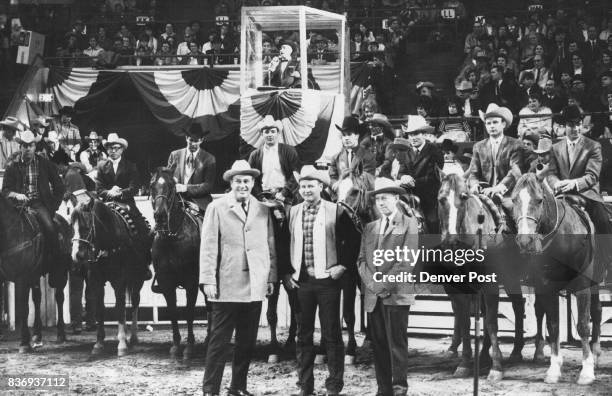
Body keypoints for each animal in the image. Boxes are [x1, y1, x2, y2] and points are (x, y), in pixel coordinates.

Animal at [0, 193, 71, 352]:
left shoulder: (22, 278)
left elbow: (24, 309)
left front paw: (24, 343)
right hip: (35, 275)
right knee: (37, 299)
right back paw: (37, 336)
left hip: (60, 273)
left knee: (59, 298)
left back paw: (61, 334)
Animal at [70, 193, 148, 356]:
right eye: (71, 225)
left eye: (87, 225)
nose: (77, 255)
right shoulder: (96, 282)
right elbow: (100, 310)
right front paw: (99, 343)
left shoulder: (119, 281)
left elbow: (119, 309)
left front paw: (122, 344)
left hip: (138, 278)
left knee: (135, 302)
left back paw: (133, 337)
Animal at [150, 169, 201, 360]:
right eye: (152, 186)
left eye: (171, 187)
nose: (160, 216)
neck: (173, 237)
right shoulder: (166, 283)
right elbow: (172, 312)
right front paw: (176, 345)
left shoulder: (192, 283)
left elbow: (189, 312)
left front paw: (190, 347)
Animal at [438, 174, 528, 380]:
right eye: (441, 199)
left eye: (463, 197)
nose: (451, 241)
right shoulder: (460, 290)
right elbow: (465, 322)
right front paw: (464, 364)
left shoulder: (490, 285)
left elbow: (492, 323)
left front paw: (497, 368)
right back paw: (485, 355)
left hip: (512, 278)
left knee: (520, 307)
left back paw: (520, 351)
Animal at [510, 173, 604, 384]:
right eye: (514, 200)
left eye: (539, 200)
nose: (525, 240)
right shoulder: (547, 286)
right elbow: (553, 326)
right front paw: (554, 369)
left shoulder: (582, 285)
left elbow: (583, 325)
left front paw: (587, 371)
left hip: (595, 282)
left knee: (597, 312)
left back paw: (595, 354)